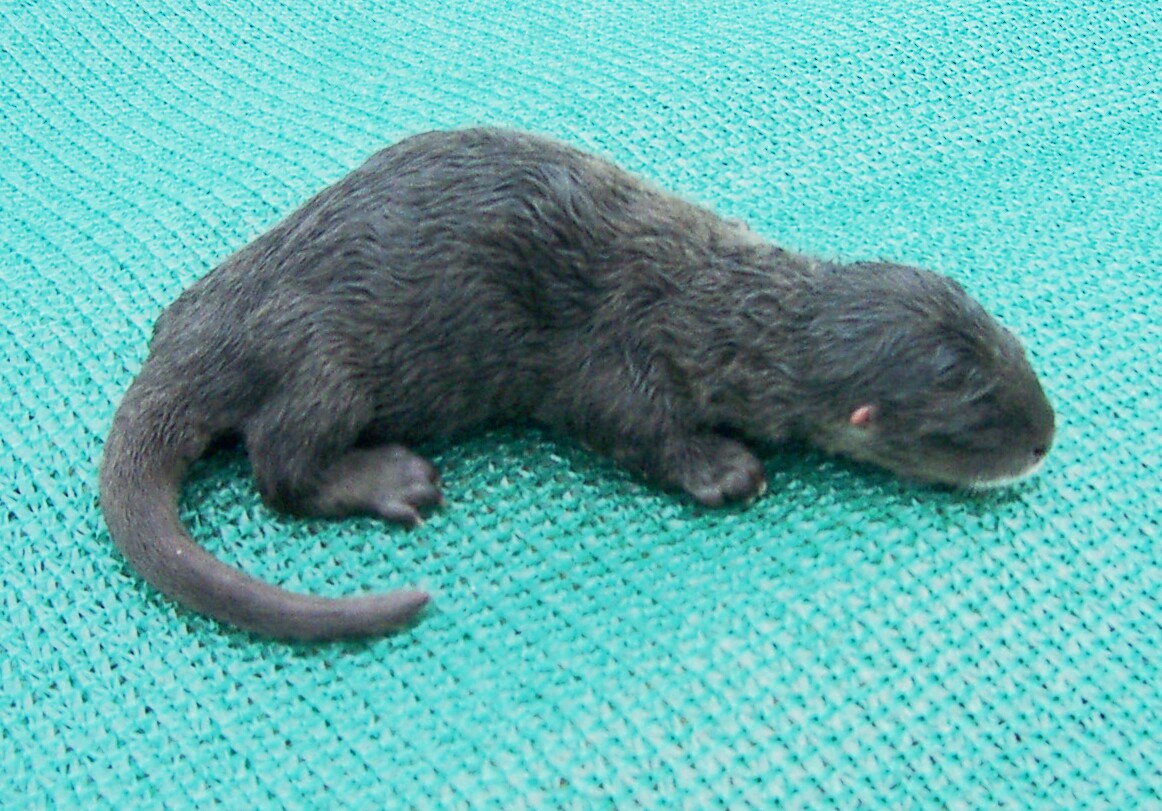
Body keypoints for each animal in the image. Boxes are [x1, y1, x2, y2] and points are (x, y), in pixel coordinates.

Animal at [99, 127, 1055, 640]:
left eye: (1013, 352)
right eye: (976, 420)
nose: (1046, 434)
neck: (716, 310)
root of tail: (207, 329)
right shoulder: (617, 359)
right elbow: (631, 428)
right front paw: (723, 469)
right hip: (323, 363)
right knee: (279, 464)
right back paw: (387, 478)